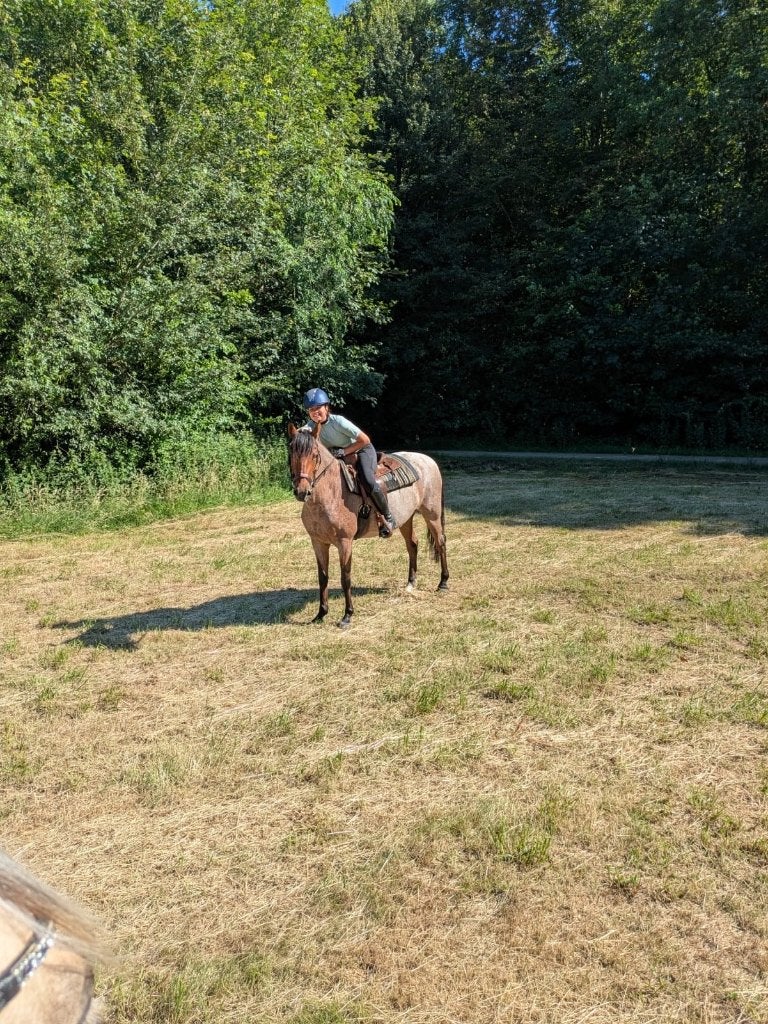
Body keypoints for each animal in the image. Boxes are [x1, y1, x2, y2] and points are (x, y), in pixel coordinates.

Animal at [288, 423, 449, 627]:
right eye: (291, 452)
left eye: (315, 455)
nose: (302, 491)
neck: (331, 493)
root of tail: (428, 460)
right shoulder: (318, 542)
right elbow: (322, 577)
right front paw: (320, 614)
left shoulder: (345, 542)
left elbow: (345, 577)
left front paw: (347, 615)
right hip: (406, 518)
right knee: (412, 544)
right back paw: (411, 583)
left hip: (432, 514)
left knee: (440, 542)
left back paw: (443, 583)